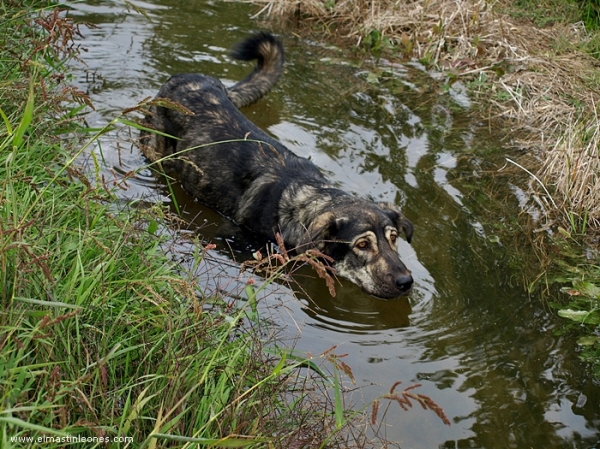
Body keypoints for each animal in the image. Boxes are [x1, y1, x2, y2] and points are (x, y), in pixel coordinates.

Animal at [139, 31, 414, 298]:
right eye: (362, 245)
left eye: (394, 238)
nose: (406, 282)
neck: (303, 203)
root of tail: (187, 76)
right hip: (154, 148)